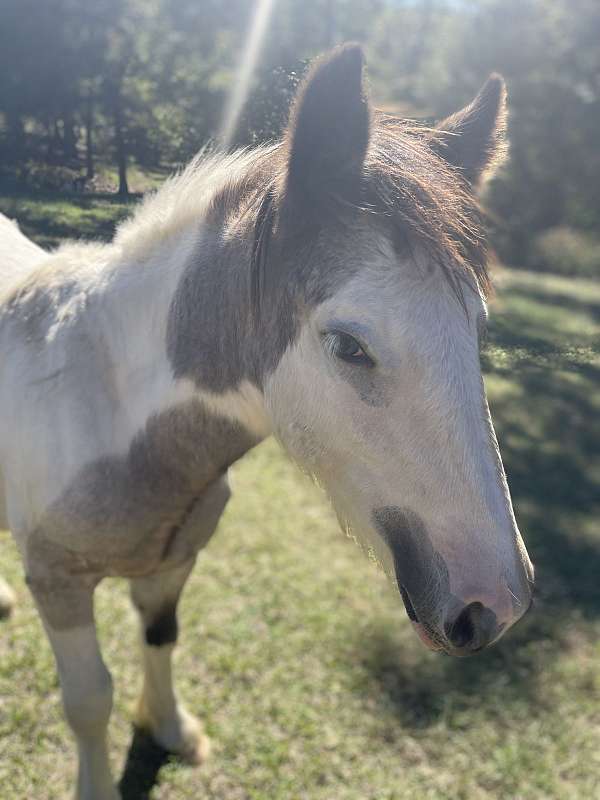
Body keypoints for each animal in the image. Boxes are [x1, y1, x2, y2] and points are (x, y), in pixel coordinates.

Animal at [0, 45, 536, 800]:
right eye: (347, 345)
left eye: (477, 328)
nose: (496, 604)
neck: (102, 406)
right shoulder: (58, 581)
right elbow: (87, 701)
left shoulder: (173, 563)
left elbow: (161, 637)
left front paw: (171, 729)